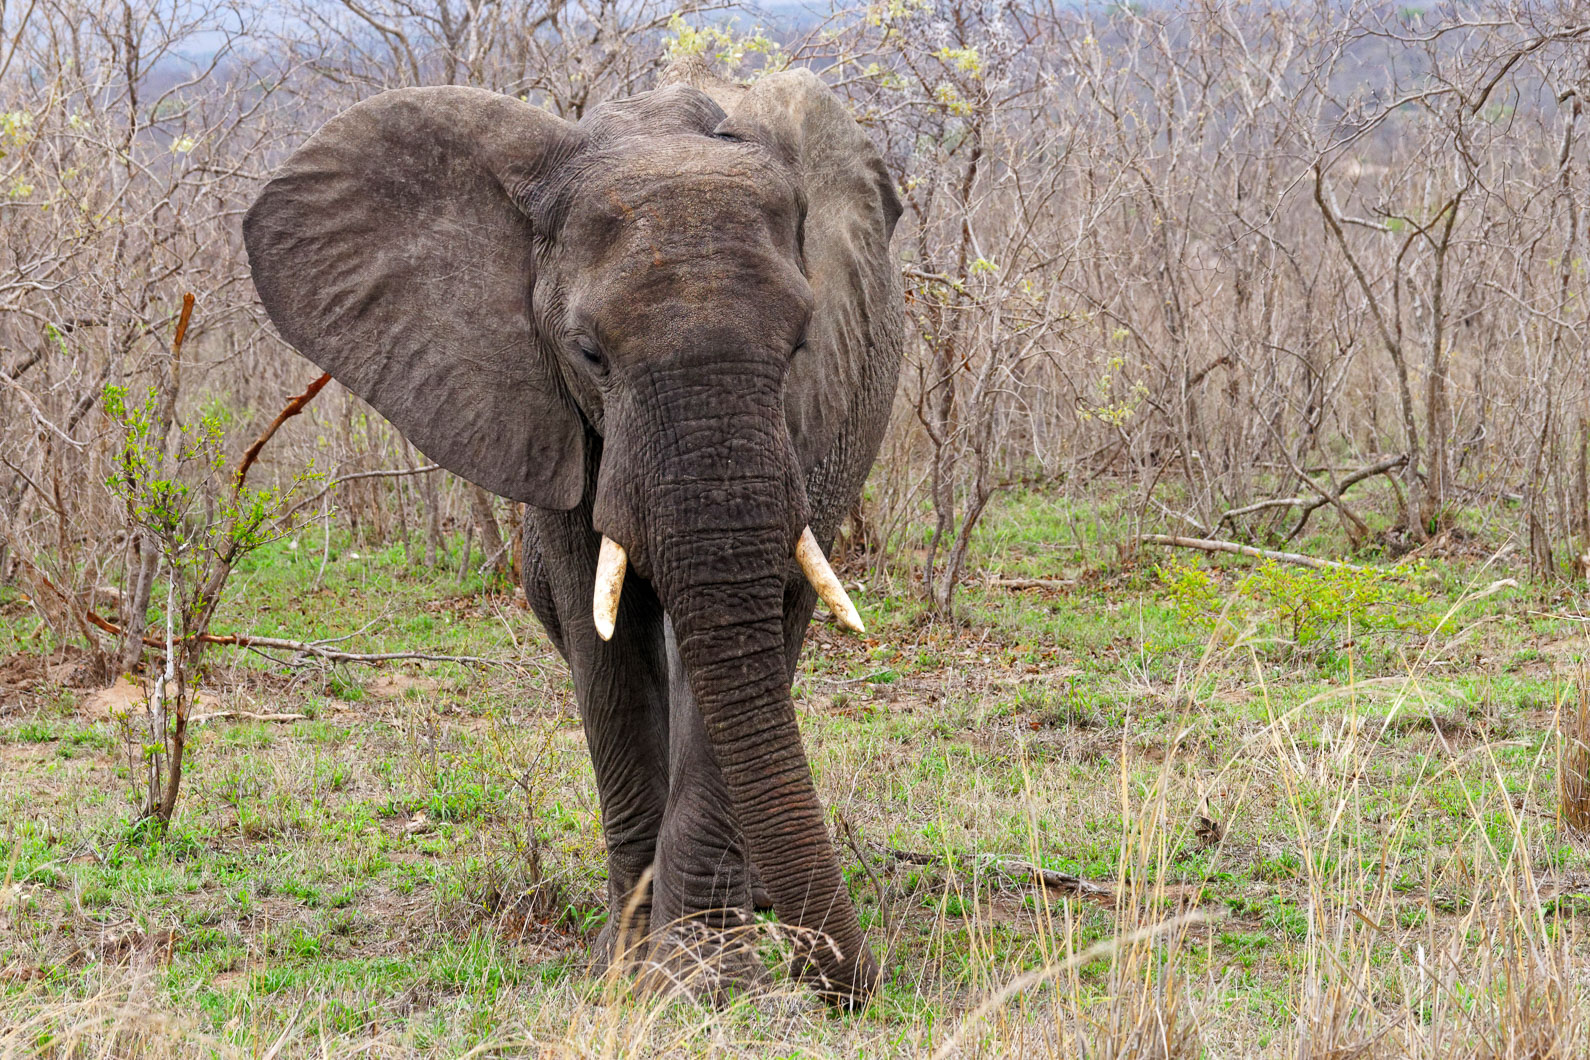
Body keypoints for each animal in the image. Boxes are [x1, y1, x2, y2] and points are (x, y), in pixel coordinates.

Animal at [242, 58, 903, 1009]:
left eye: (802, 343)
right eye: (589, 354)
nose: (852, 985)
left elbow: (756, 635)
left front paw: (697, 982)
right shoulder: (544, 414)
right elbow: (611, 661)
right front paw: (626, 972)